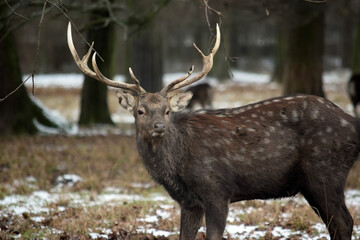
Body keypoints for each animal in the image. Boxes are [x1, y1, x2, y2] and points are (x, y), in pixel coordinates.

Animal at [67, 21, 360, 239]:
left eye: (167, 111)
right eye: (140, 111)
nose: (159, 127)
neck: (179, 168)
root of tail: (352, 124)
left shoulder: (217, 190)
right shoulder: (188, 202)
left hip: (325, 172)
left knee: (344, 222)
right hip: (313, 182)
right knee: (337, 224)